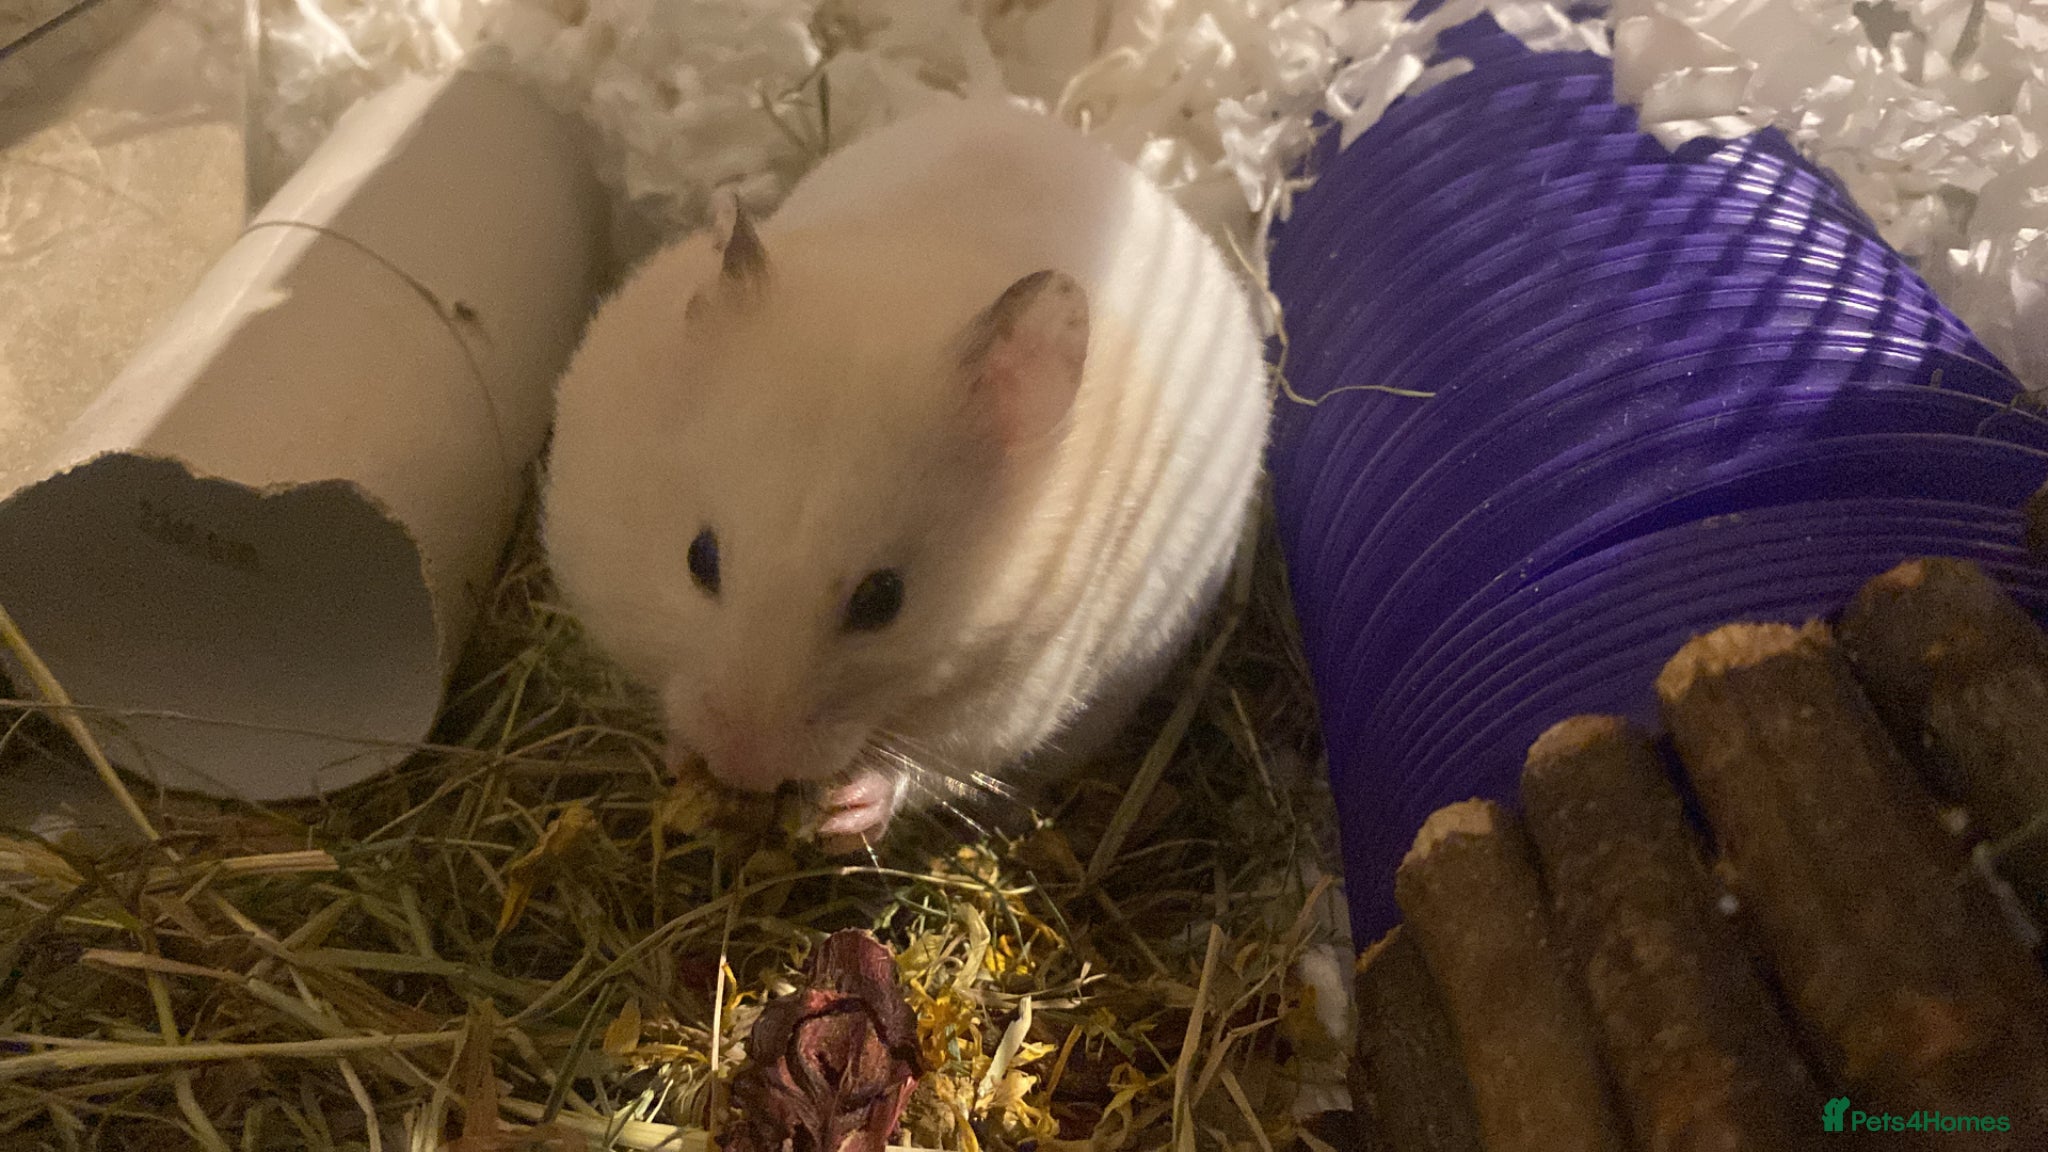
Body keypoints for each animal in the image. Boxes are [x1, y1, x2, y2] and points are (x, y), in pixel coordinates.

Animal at [541, 98, 1271, 846]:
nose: (745, 767)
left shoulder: (1011, 693)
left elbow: (930, 766)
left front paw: (844, 813)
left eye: (883, 600)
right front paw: (684, 757)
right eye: (699, 558)